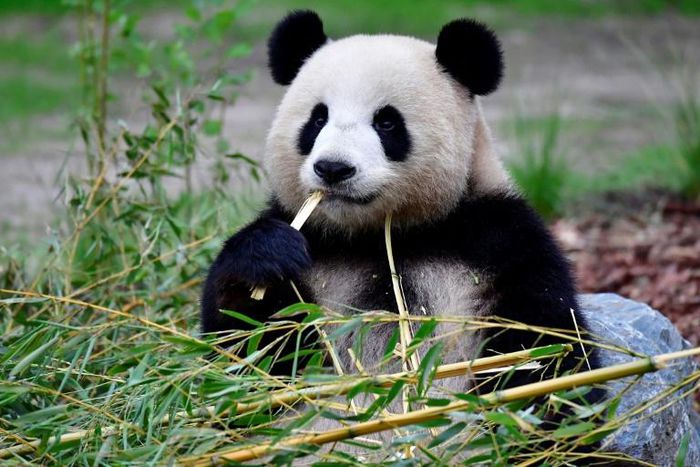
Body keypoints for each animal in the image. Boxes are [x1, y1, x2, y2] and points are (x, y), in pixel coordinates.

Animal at [201, 10, 599, 397]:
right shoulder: (313, 246)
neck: (381, 235)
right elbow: (244, 350)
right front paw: (266, 254)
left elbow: (545, 346)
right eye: (317, 119)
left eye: (387, 122)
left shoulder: (500, 241)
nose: (333, 168)